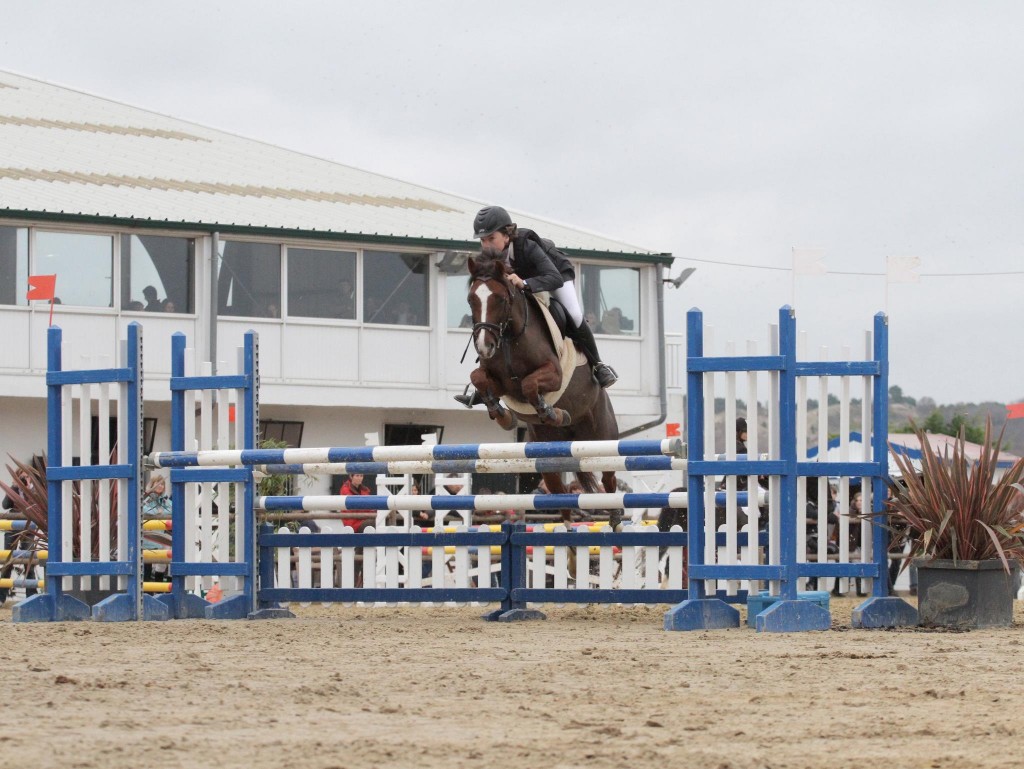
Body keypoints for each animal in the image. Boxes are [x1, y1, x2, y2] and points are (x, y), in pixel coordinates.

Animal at [466, 252, 622, 528]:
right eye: (471, 299)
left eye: (500, 299)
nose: (484, 346)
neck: (510, 337)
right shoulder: (500, 383)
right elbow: (479, 379)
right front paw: (502, 415)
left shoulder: (554, 374)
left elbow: (529, 384)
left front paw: (552, 413)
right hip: (548, 458)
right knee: (560, 495)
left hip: (603, 439)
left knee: (608, 478)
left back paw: (614, 517)